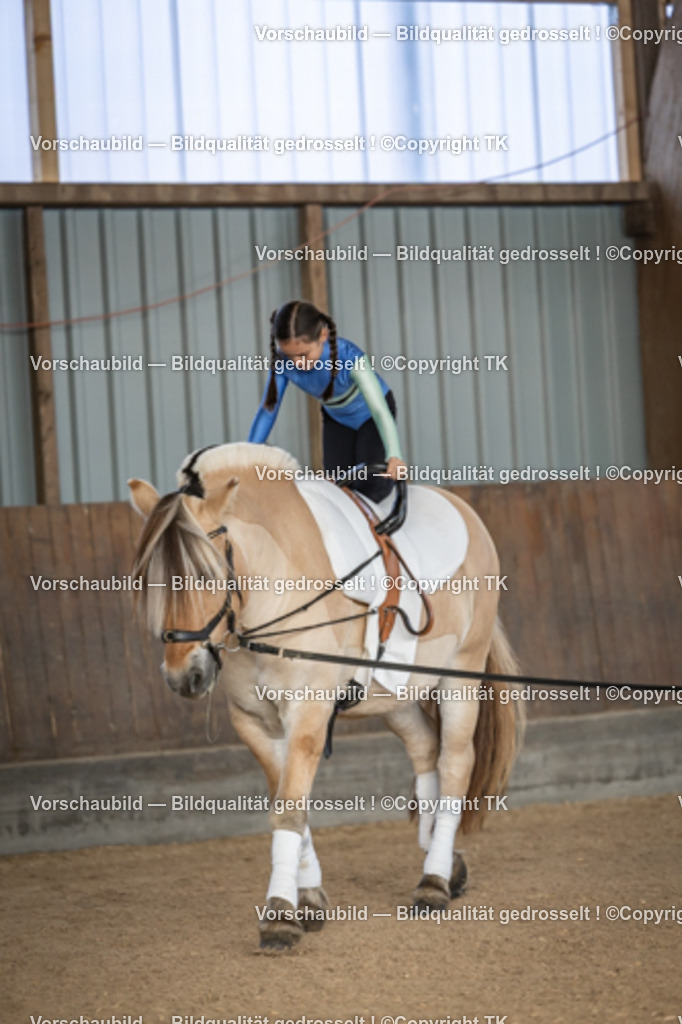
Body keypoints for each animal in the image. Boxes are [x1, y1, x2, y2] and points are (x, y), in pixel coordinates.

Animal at [129, 442, 523, 950]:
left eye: (209, 575)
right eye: (151, 580)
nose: (184, 677)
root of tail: (464, 509)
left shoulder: (309, 712)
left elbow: (289, 809)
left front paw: (279, 915)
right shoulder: (254, 721)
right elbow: (288, 803)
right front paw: (309, 897)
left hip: (459, 676)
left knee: (455, 761)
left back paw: (433, 881)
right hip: (393, 694)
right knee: (425, 751)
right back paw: (446, 861)